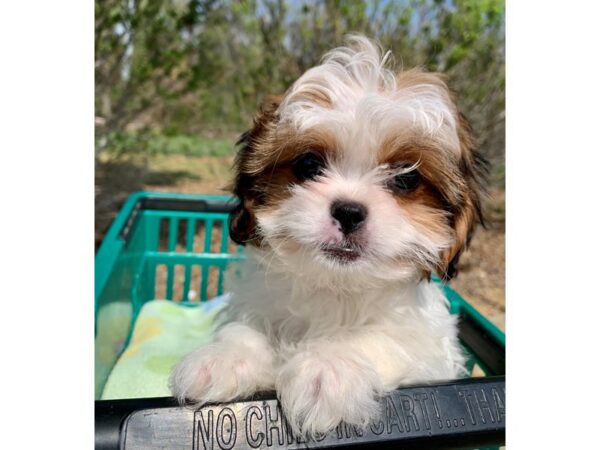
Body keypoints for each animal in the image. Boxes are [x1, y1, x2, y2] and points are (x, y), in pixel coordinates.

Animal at [170, 36, 488, 440]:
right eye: (308, 164)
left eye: (406, 178)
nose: (349, 211)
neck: (335, 286)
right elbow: (248, 325)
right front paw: (227, 356)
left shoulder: (429, 349)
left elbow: (385, 338)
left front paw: (329, 365)